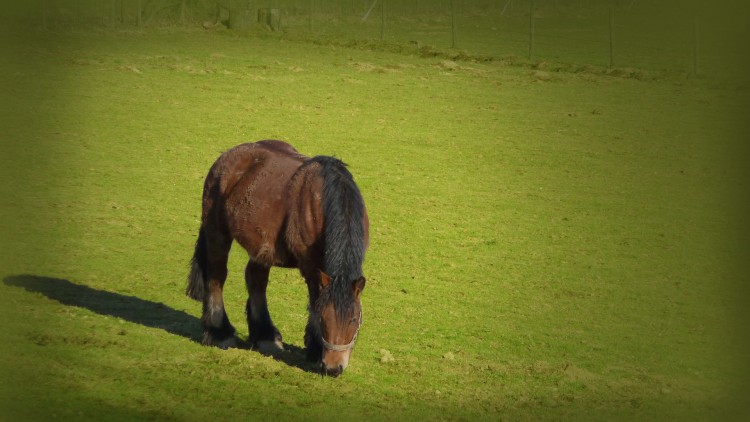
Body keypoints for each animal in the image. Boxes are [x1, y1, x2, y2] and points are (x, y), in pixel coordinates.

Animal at [185, 140, 368, 378]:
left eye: (354, 319)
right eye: (324, 318)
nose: (333, 367)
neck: (324, 200)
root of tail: (227, 156)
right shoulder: (310, 267)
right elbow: (314, 300)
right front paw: (315, 350)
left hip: (261, 247)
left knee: (255, 280)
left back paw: (265, 337)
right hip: (217, 232)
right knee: (217, 276)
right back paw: (219, 333)